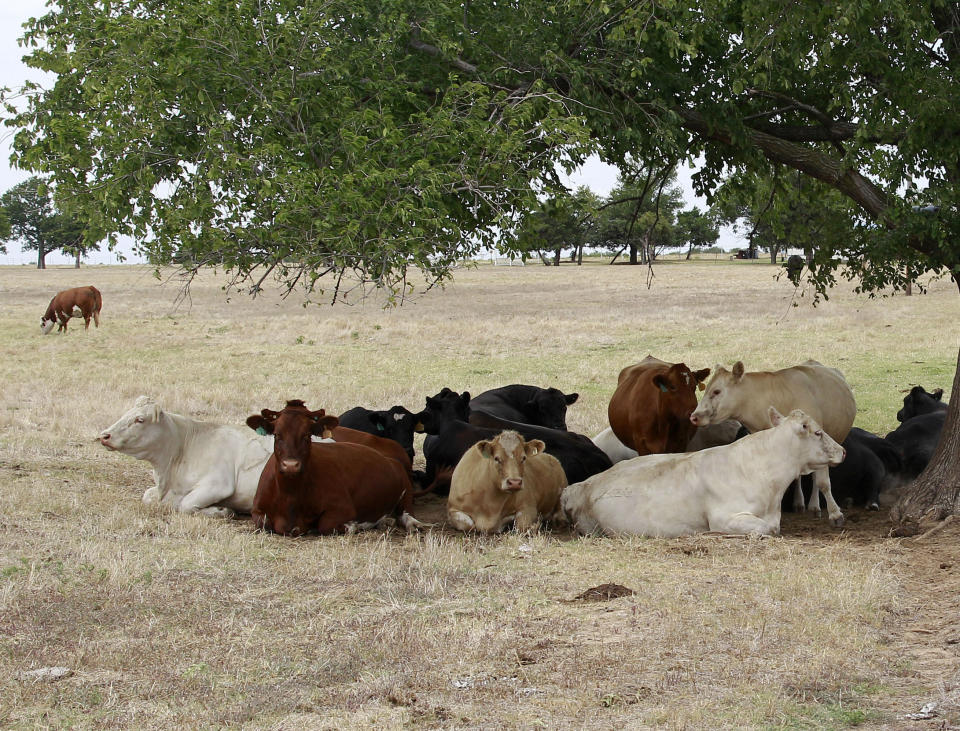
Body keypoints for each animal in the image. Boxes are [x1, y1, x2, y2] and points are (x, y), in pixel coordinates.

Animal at [98, 398, 274, 516]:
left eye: (140, 419)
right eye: (126, 413)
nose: (104, 435)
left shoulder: (218, 484)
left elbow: (185, 505)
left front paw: (221, 510)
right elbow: (147, 495)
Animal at [246, 400, 418, 536]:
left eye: (307, 435)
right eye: (276, 435)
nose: (290, 465)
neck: (290, 496)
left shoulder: (343, 507)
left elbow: (326, 525)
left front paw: (353, 525)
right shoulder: (257, 510)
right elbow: (263, 523)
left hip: (406, 485)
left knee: (406, 512)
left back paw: (412, 524)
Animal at [688, 360, 856, 528]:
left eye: (716, 391)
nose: (694, 417)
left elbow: (823, 483)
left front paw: (835, 514)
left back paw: (814, 505)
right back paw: (799, 503)